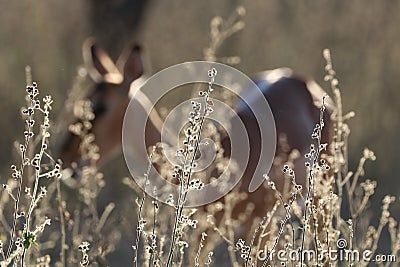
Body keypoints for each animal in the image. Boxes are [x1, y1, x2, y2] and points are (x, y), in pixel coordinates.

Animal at [58, 39, 334, 266]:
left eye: (100, 107)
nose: (69, 162)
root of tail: (302, 81)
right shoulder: (202, 229)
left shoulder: (252, 226)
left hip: (316, 202)